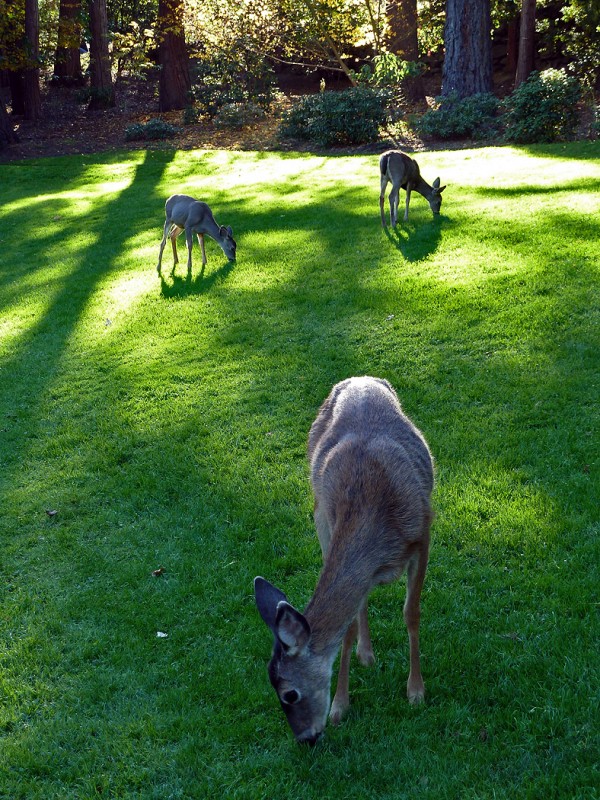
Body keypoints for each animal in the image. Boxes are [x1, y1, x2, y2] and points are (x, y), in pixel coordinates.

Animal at [254, 376, 433, 745]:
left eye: (289, 694)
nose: (305, 738)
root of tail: (362, 378)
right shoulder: (329, 523)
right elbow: (347, 628)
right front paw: (340, 705)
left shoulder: (422, 534)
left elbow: (411, 613)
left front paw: (415, 691)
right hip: (320, 520)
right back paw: (366, 654)